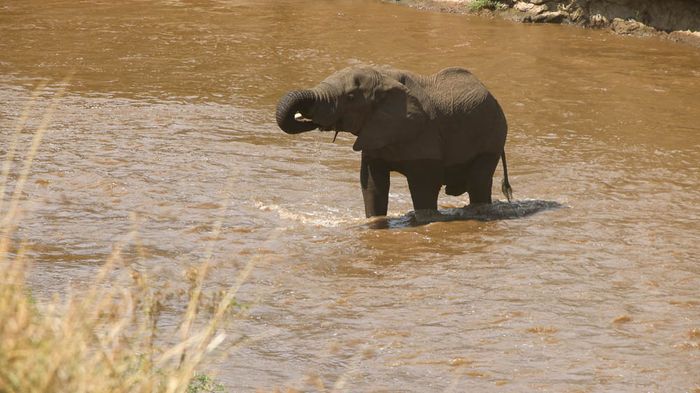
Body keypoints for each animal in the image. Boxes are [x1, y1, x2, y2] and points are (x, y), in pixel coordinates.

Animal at [276, 66, 512, 222]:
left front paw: (425, 221)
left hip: (492, 136)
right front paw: (374, 223)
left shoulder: (424, 133)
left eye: (350, 97)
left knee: (478, 181)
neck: (383, 78)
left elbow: (424, 185)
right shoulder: (375, 132)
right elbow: (372, 183)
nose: (307, 118)